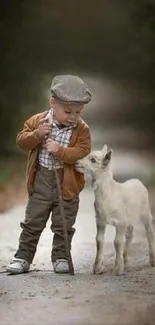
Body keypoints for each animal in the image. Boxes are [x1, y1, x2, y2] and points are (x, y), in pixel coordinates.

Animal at [75, 144, 155, 274]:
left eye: (93, 160)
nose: (76, 163)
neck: (109, 193)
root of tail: (137, 180)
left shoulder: (120, 222)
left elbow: (117, 242)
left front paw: (117, 269)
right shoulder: (100, 221)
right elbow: (99, 241)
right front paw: (97, 268)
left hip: (145, 213)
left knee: (149, 233)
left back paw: (152, 260)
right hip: (128, 217)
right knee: (130, 233)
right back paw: (125, 257)